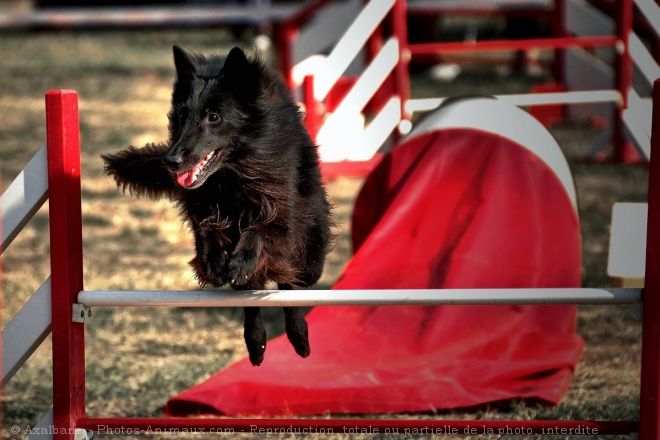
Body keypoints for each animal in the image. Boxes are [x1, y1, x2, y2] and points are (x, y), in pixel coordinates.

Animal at [102, 46, 332, 366]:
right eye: (182, 114)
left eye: (213, 117)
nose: (170, 161)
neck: (233, 175)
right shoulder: (204, 207)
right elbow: (207, 231)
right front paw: (214, 259)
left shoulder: (278, 205)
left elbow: (259, 231)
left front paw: (243, 258)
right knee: (252, 294)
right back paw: (256, 342)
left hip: (310, 252)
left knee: (293, 284)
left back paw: (298, 336)